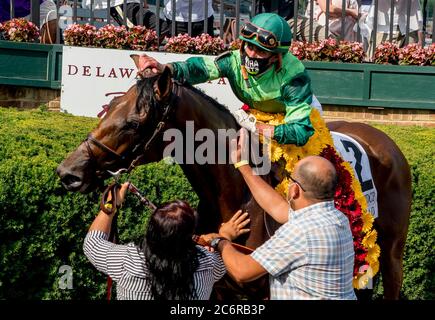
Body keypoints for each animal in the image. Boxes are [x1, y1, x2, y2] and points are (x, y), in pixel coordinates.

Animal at [57, 63, 412, 298]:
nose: (68, 173)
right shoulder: (217, 286)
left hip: (392, 250)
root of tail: (385, 140)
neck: (236, 195)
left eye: (133, 123)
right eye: (108, 108)